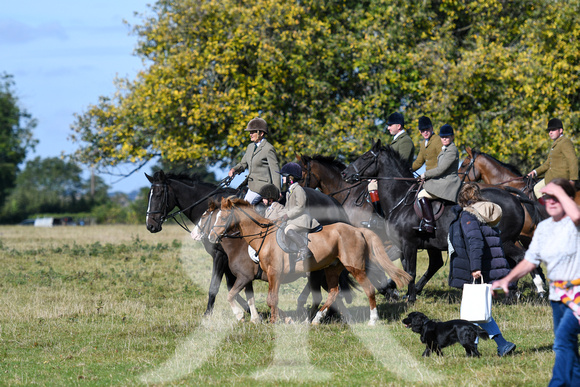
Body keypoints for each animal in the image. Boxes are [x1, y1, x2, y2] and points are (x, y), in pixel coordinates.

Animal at [206, 199, 410, 326]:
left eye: (222, 217)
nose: (211, 237)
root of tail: (357, 230)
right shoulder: (261, 277)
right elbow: (259, 298)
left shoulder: (270, 274)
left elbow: (268, 299)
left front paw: (269, 321)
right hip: (331, 270)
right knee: (334, 293)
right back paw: (316, 320)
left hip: (355, 267)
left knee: (368, 289)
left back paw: (372, 320)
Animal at [342, 140, 528, 304]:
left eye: (366, 157)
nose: (345, 173)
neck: (401, 201)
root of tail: (515, 198)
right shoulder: (405, 245)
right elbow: (404, 268)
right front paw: (403, 293)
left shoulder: (409, 244)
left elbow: (411, 271)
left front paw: (409, 299)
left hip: (504, 240)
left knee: (519, 259)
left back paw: (511, 293)